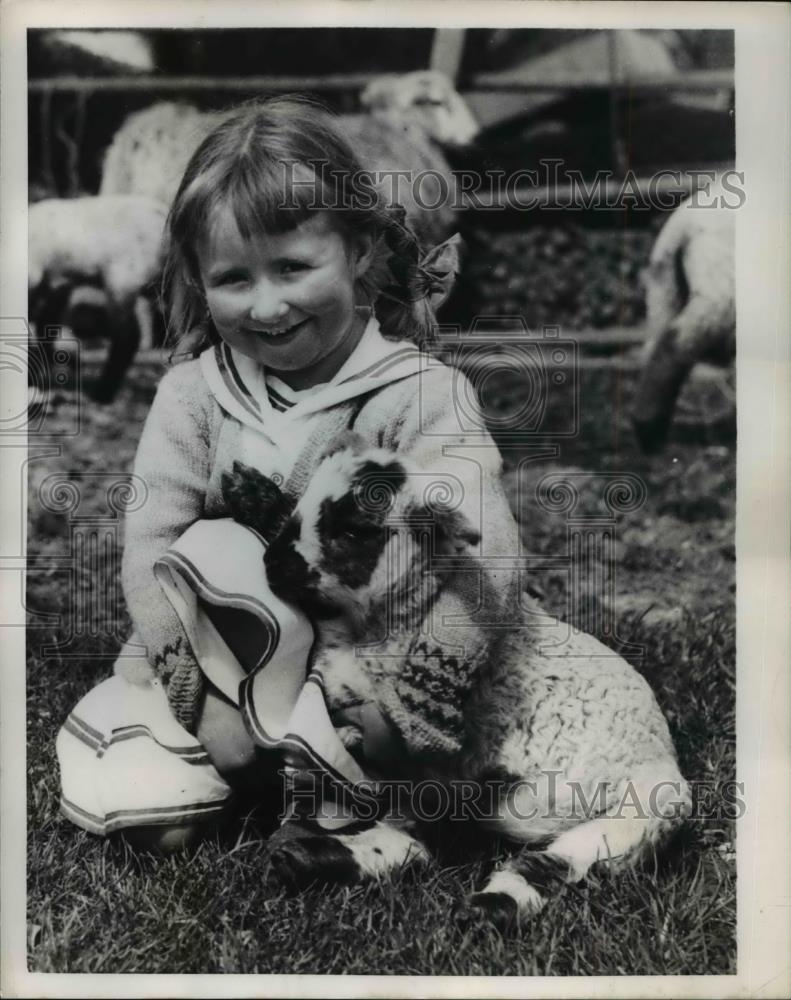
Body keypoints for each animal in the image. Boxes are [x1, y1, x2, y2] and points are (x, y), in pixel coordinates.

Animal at [224, 438, 692, 928]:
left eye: (354, 530)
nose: (274, 564)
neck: (387, 622)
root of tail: (666, 758)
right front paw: (254, 494)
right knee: (421, 841)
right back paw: (306, 860)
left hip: (641, 810)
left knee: (551, 863)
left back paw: (486, 908)